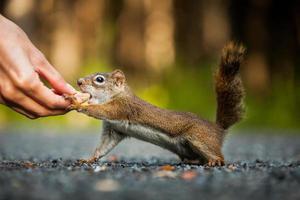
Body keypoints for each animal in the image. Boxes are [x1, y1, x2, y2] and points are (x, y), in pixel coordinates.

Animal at [67, 42, 246, 167]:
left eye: (99, 79)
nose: (79, 81)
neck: (118, 95)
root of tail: (218, 130)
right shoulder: (114, 130)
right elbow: (103, 147)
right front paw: (89, 159)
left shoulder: (121, 108)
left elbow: (102, 111)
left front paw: (78, 104)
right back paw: (193, 162)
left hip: (200, 138)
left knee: (217, 155)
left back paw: (215, 161)